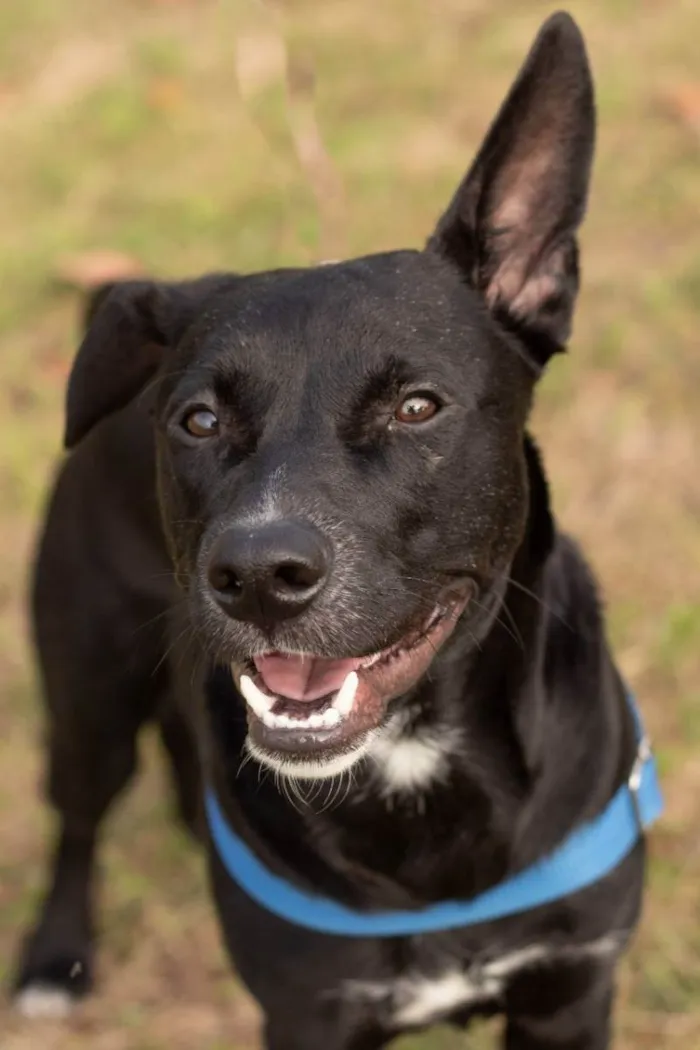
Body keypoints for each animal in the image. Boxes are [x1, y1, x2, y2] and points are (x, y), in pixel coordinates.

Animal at [15, 12, 663, 1045]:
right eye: (198, 421)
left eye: (416, 407)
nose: (257, 575)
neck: (410, 757)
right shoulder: (309, 1012)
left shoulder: (572, 994)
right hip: (87, 683)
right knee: (80, 815)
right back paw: (55, 959)